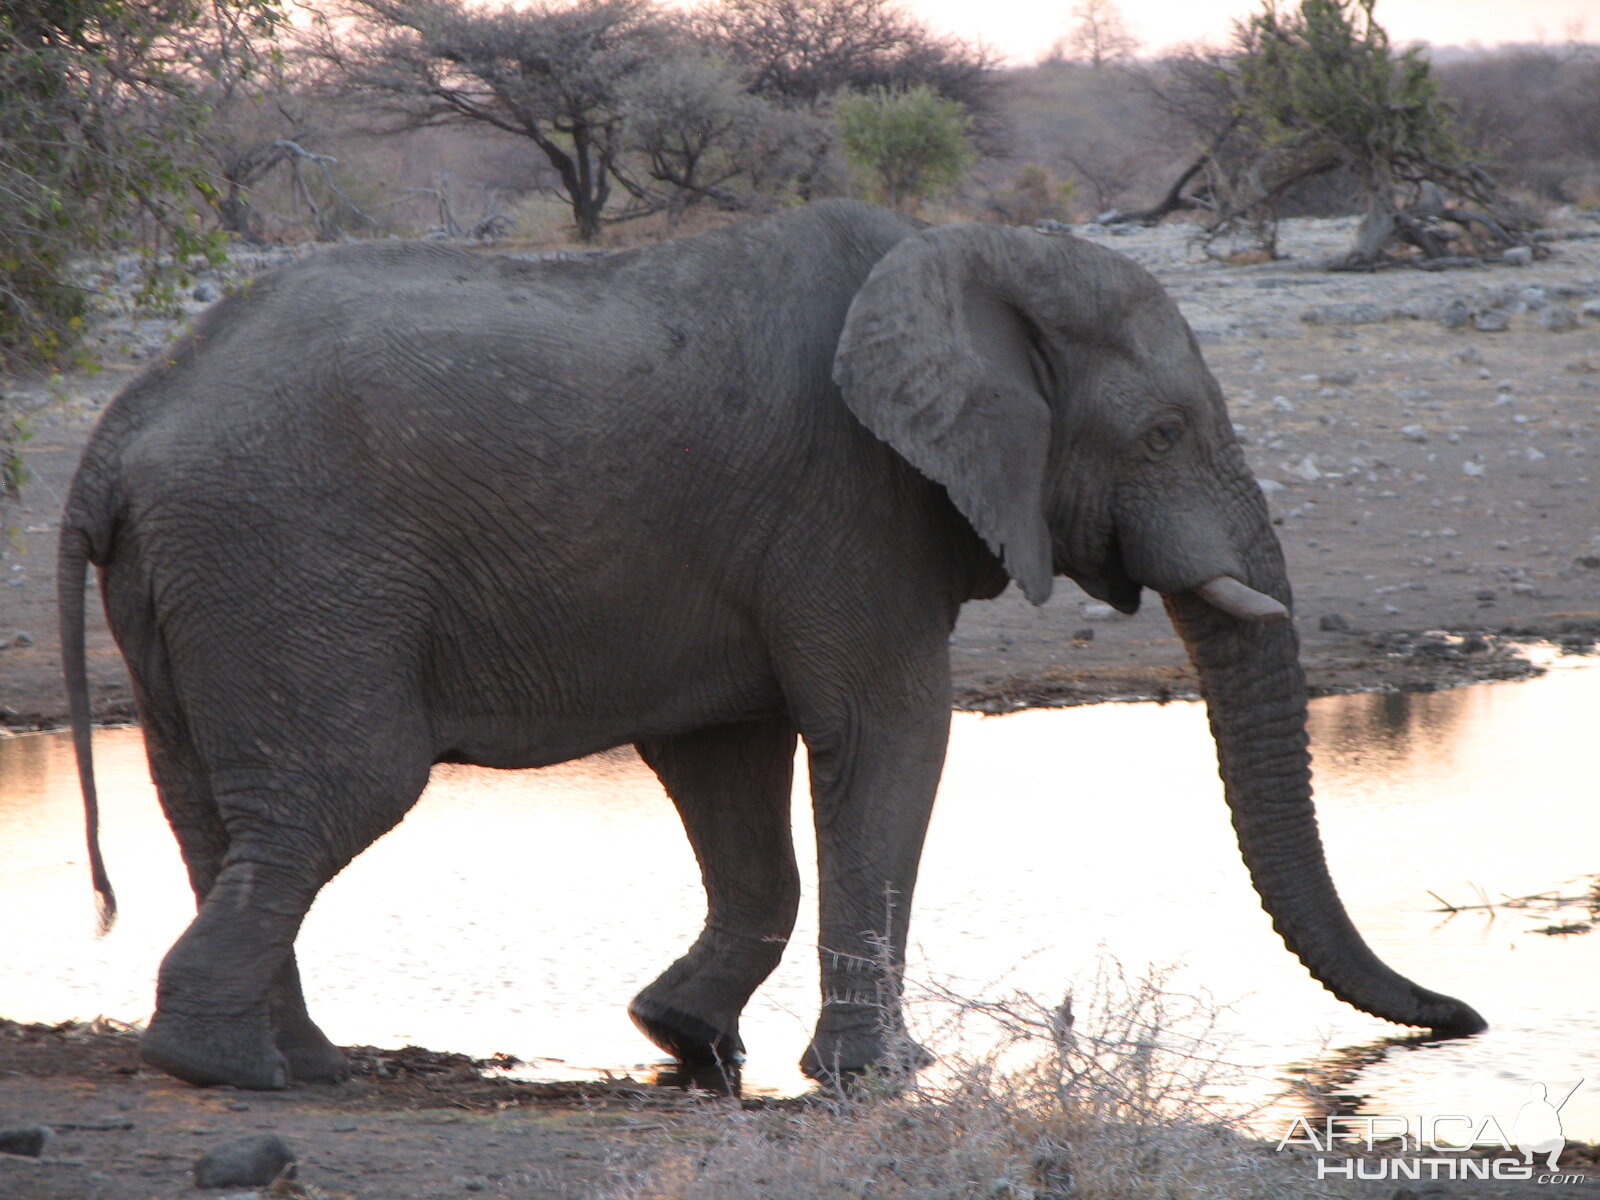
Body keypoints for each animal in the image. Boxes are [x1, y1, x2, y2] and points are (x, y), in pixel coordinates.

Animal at [62, 202, 1484, 1094]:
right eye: (1164, 436)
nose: (1467, 1019)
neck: (963, 254)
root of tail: (123, 425)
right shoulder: (852, 500)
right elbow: (889, 734)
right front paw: (886, 1078)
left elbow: (724, 765)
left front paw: (681, 1037)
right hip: (287, 557)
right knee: (342, 788)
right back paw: (228, 1069)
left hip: (201, 582)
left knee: (215, 809)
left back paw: (286, 1061)